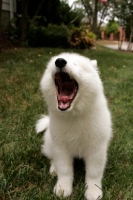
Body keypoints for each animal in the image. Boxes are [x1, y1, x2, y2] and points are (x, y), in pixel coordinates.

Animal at [35, 52, 112, 199]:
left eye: (76, 64)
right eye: (54, 63)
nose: (59, 61)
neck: (73, 115)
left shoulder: (96, 148)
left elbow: (93, 173)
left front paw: (93, 192)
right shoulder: (61, 147)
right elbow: (64, 170)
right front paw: (62, 189)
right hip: (50, 143)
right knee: (52, 158)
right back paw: (53, 169)